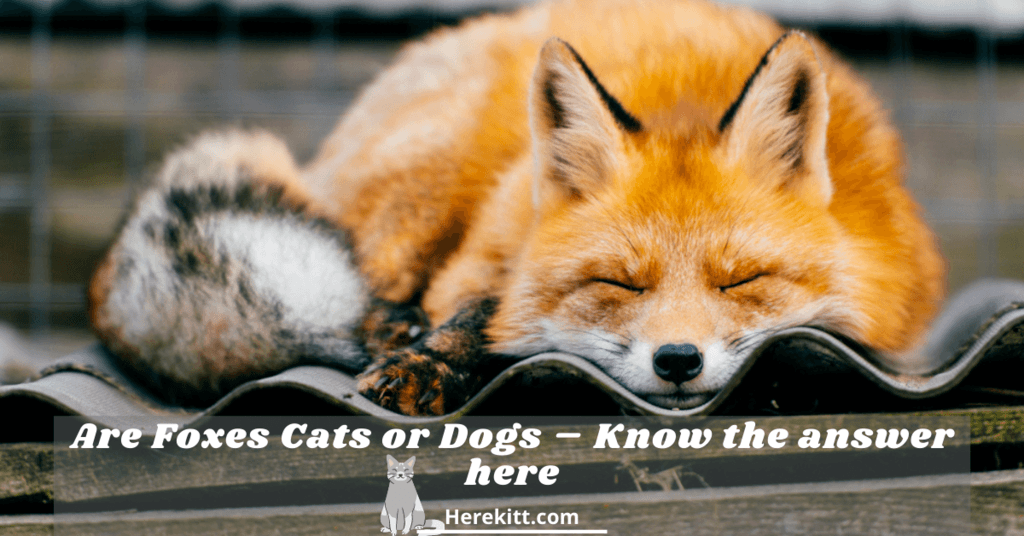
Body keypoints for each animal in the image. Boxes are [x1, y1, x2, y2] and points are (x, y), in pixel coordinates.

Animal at [89, 0, 945, 415]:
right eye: (619, 283)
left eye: (742, 281)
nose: (677, 361)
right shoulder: (484, 254)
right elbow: (482, 311)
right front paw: (432, 358)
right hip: (428, 182)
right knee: (356, 290)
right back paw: (389, 329)